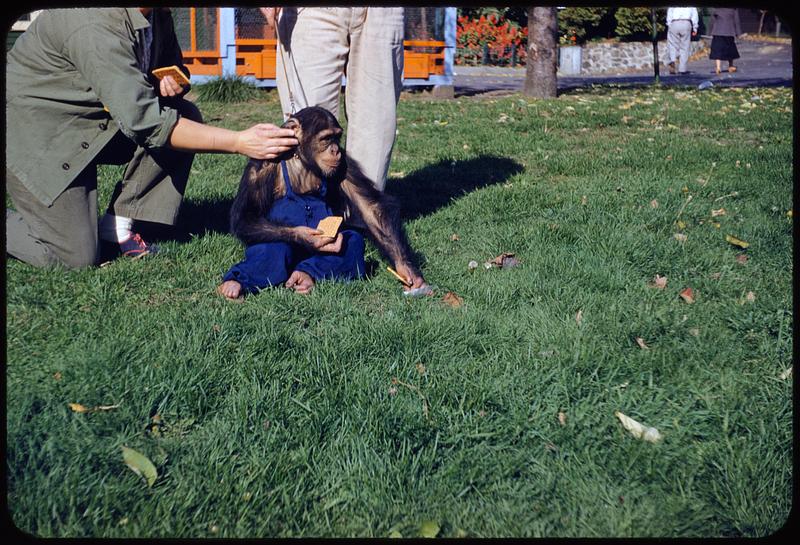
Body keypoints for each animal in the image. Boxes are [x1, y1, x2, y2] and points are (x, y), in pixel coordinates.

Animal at [212, 104, 424, 296]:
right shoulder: (261, 164)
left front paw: (407, 269)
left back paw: (304, 276)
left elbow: (370, 209)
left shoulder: (345, 163)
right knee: (272, 244)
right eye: (326, 138)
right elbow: (246, 216)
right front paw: (307, 237)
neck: (300, 159)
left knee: (353, 240)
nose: (335, 150)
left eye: (337, 137)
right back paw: (234, 284)